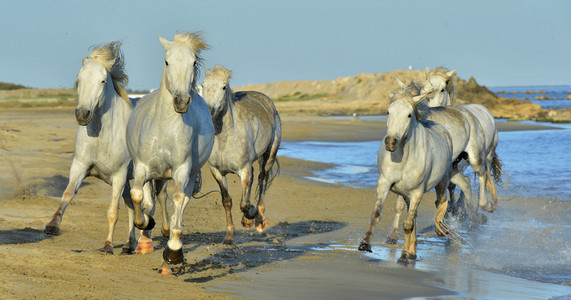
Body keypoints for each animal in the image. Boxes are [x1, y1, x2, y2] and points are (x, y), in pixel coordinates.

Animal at [43, 41, 140, 253]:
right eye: (79, 78)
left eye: (103, 81)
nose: (82, 114)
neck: (102, 137)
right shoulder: (80, 166)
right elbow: (67, 194)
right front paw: (52, 226)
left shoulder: (119, 176)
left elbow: (113, 211)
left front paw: (108, 246)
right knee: (132, 206)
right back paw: (129, 245)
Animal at [127, 32, 214, 274]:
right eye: (167, 61)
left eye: (193, 62)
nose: (182, 101)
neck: (165, 126)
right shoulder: (142, 167)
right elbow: (137, 195)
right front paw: (144, 223)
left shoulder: (182, 169)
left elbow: (177, 200)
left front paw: (174, 251)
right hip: (155, 175)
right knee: (152, 199)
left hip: (188, 175)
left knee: (179, 202)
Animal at [200, 65, 282, 244]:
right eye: (202, 85)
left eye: (224, 87)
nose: (209, 111)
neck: (225, 139)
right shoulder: (217, 172)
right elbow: (227, 201)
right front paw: (229, 235)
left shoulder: (244, 170)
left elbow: (244, 204)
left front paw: (250, 216)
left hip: (269, 156)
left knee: (262, 181)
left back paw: (259, 219)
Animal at [358, 80, 456, 262]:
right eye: (388, 111)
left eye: (409, 115)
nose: (390, 142)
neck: (404, 159)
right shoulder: (385, 183)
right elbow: (377, 214)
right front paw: (365, 244)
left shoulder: (417, 192)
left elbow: (408, 225)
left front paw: (404, 255)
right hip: (406, 195)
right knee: (414, 216)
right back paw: (412, 250)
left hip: (440, 183)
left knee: (439, 203)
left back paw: (434, 234)